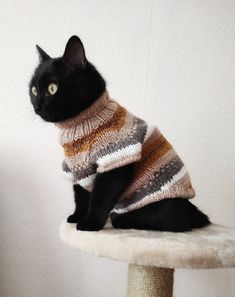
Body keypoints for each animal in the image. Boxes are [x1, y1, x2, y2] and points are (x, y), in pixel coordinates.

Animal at [28, 35, 210, 231]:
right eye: (34, 90)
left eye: (52, 88)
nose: (37, 106)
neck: (80, 124)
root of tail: (193, 212)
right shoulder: (79, 169)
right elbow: (80, 197)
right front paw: (77, 217)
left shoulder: (115, 163)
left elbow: (100, 199)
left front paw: (90, 223)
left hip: (159, 205)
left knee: (169, 223)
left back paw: (120, 220)